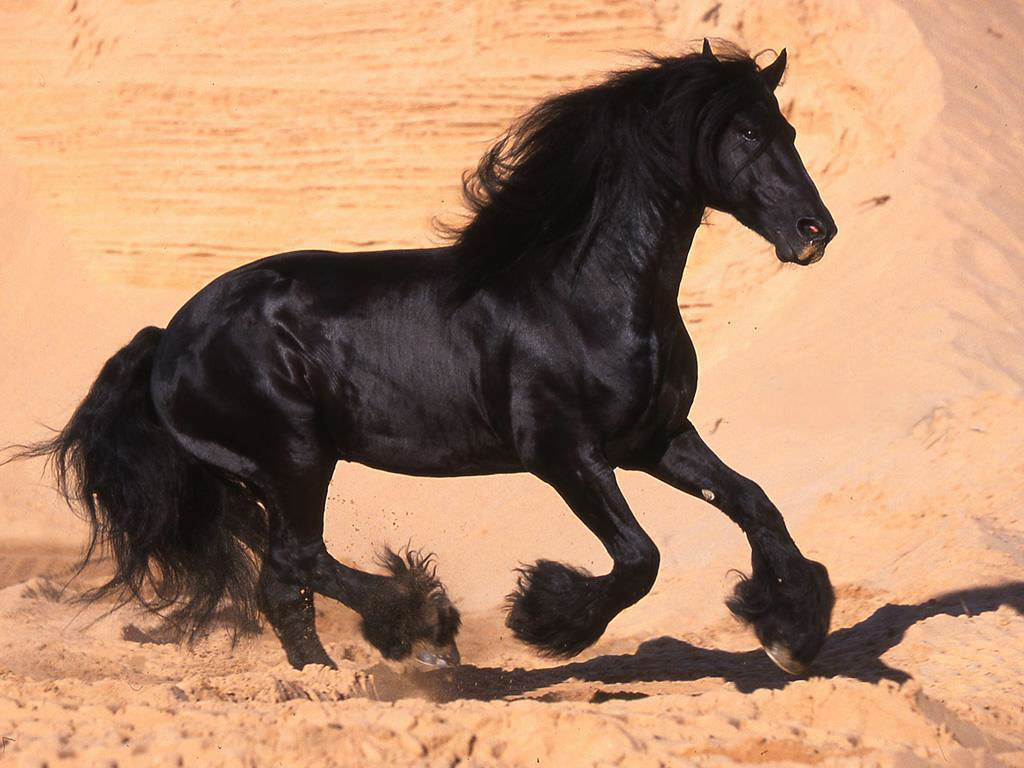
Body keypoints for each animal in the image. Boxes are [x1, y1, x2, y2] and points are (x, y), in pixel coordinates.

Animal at [8, 39, 837, 676]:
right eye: (747, 135)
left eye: (790, 130)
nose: (815, 230)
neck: (588, 293)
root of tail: (167, 340)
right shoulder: (563, 454)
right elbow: (639, 557)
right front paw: (543, 618)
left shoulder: (657, 441)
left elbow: (756, 504)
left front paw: (793, 634)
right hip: (294, 457)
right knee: (295, 565)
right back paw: (403, 642)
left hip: (247, 478)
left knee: (288, 569)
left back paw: (377, 650)